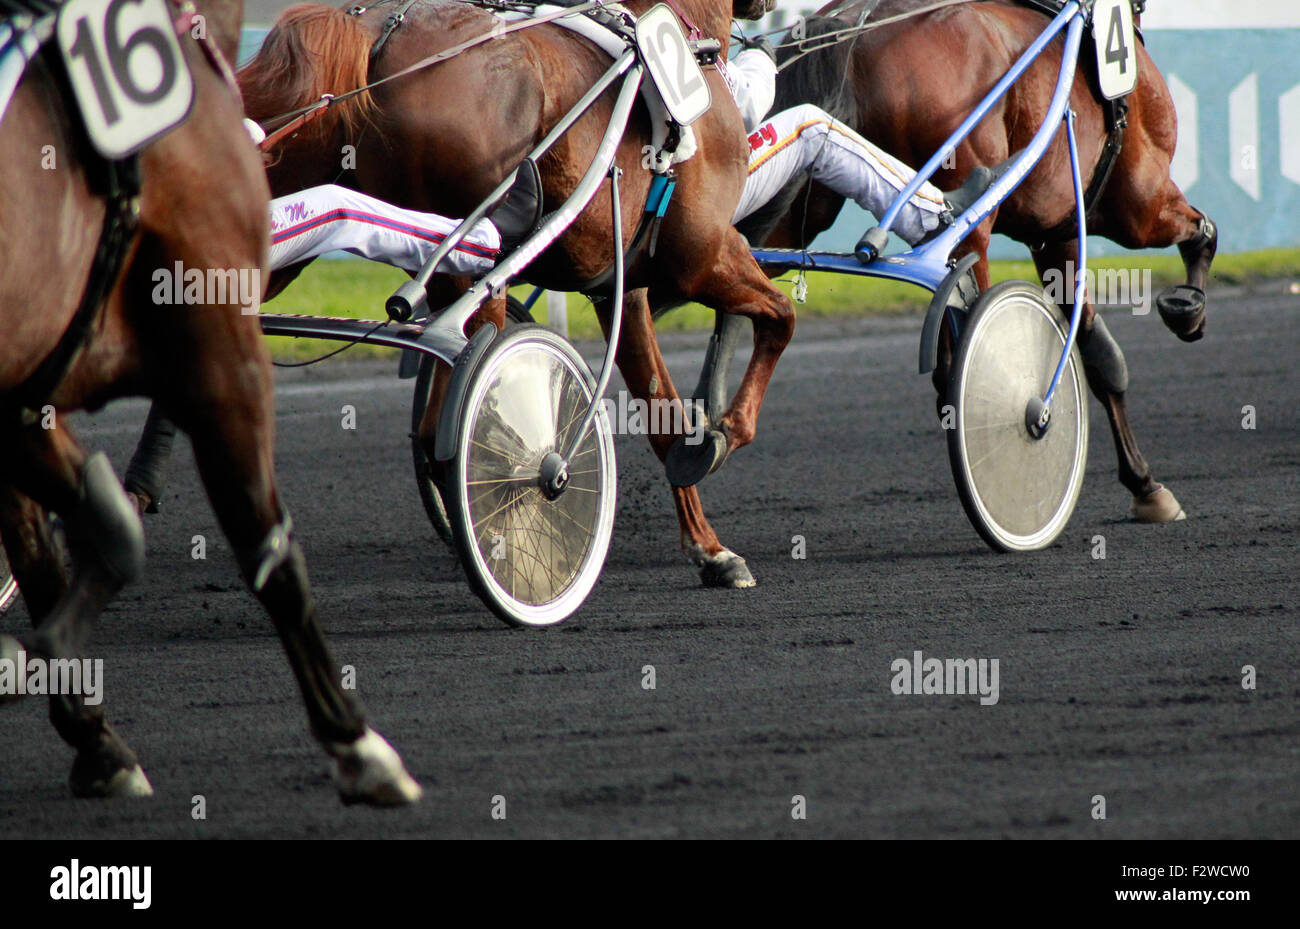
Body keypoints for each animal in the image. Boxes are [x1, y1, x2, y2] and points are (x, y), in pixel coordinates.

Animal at [0, 0, 416, 805]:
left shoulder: (25, 398)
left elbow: (57, 545)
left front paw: (91, 733)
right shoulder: (221, 348)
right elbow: (267, 546)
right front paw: (357, 744)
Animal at [230, 0, 785, 589]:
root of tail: (379, 34)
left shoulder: (625, 288)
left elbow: (663, 414)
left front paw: (710, 548)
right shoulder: (701, 257)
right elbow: (780, 317)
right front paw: (723, 435)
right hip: (473, 274)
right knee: (455, 420)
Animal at [743, 0, 1216, 522]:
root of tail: (857, 28)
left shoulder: (1055, 236)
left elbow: (1098, 353)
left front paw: (1142, 482)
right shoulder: (1140, 205)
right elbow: (1199, 232)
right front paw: (1188, 307)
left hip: (801, 208)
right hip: (975, 227)